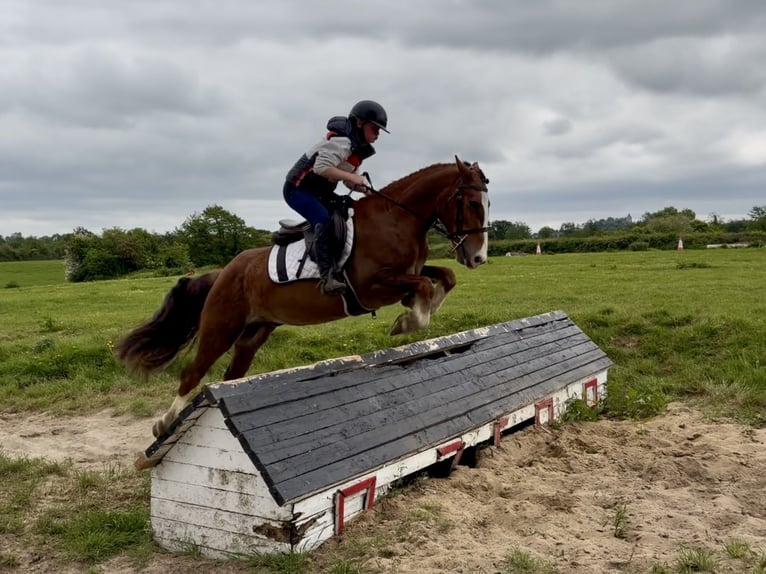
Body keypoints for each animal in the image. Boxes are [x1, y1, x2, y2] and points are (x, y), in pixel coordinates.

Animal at [117, 156, 490, 439]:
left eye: (487, 203)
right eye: (473, 203)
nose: (479, 258)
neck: (396, 219)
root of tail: (223, 272)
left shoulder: (409, 272)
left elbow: (444, 277)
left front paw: (418, 310)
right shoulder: (371, 286)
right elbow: (424, 286)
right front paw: (408, 321)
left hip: (254, 334)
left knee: (230, 376)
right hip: (220, 328)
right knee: (193, 373)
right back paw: (165, 423)